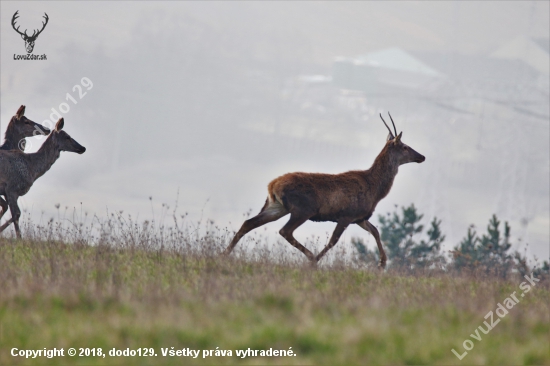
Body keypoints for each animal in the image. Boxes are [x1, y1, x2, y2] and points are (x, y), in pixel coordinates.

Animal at [224, 113, 426, 268]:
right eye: (405, 146)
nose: (422, 156)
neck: (376, 190)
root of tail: (272, 185)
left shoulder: (360, 217)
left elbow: (376, 230)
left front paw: (383, 263)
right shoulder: (347, 214)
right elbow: (333, 241)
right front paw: (316, 262)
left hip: (275, 206)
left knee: (249, 223)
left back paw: (224, 253)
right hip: (302, 209)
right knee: (284, 231)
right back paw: (311, 257)